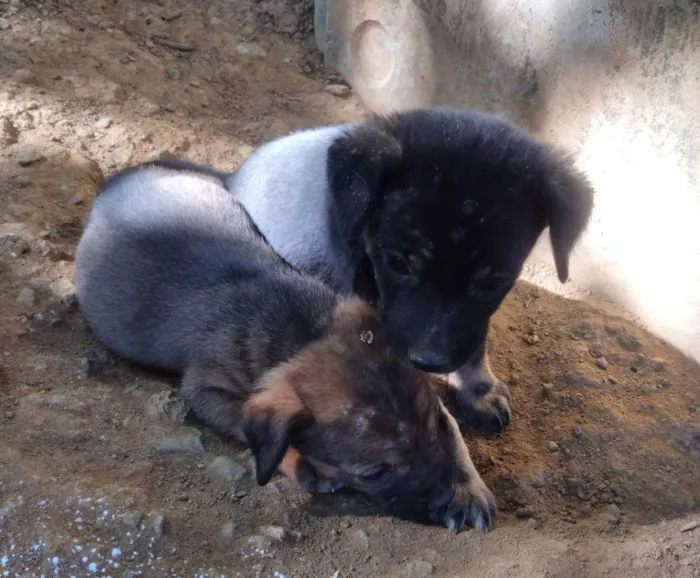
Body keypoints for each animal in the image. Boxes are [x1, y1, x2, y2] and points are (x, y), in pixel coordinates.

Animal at [75, 161, 498, 532]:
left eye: (437, 428)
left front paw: (468, 488)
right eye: (376, 472)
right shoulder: (208, 390)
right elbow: (251, 430)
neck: (302, 328)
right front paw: (302, 463)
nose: (441, 499)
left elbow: (458, 439)